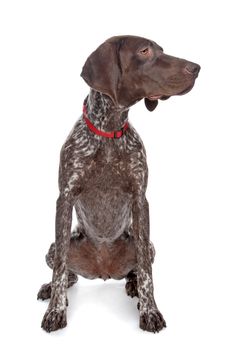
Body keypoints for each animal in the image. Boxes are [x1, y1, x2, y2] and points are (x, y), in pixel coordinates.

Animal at [37, 35, 199, 334]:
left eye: (160, 50)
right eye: (144, 51)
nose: (196, 68)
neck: (109, 131)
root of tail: (103, 269)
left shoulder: (140, 199)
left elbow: (146, 271)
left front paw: (150, 311)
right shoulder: (65, 198)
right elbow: (60, 269)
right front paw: (56, 311)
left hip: (147, 245)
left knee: (135, 270)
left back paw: (132, 286)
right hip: (53, 247)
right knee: (67, 275)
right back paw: (52, 288)